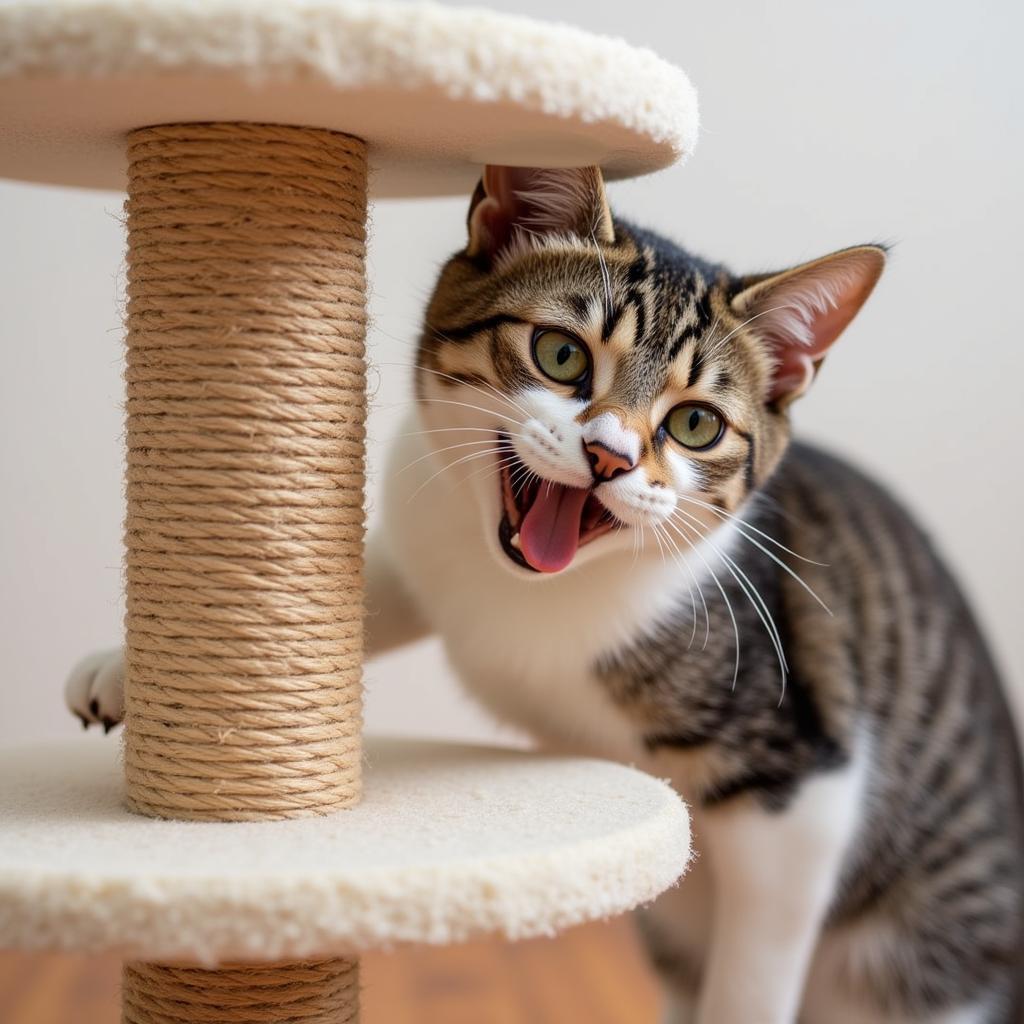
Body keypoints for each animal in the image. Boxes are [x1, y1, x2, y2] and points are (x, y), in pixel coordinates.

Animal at [72, 163, 1024, 1019]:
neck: (523, 590)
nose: (608, 455)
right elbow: (367, 594)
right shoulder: (427, 530)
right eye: (561, 353)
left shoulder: (802, 784)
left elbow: (755, 970)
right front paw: (132, 672)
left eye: (695, 424)